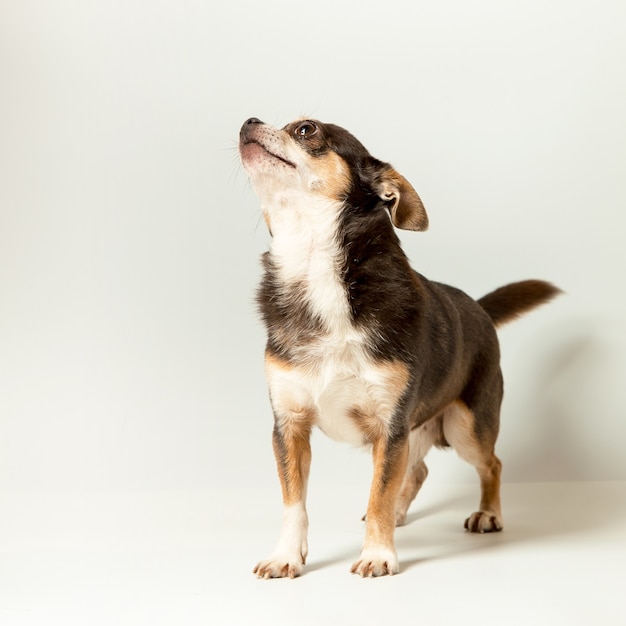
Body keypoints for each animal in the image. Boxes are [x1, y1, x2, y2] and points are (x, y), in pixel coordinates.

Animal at [238, 116, 556, 576]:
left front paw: (377, 554)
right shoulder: (291, 427)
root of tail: (478, 308)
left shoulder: (390, 427)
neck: (315, 264)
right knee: (417, 471)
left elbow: (379, 492)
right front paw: (286, 556)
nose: (249, 122)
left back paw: (487, 514)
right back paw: (402, 514)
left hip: (466, 427)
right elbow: (295, 502)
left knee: (491, 463)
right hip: (418, 428)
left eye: (306, 130)